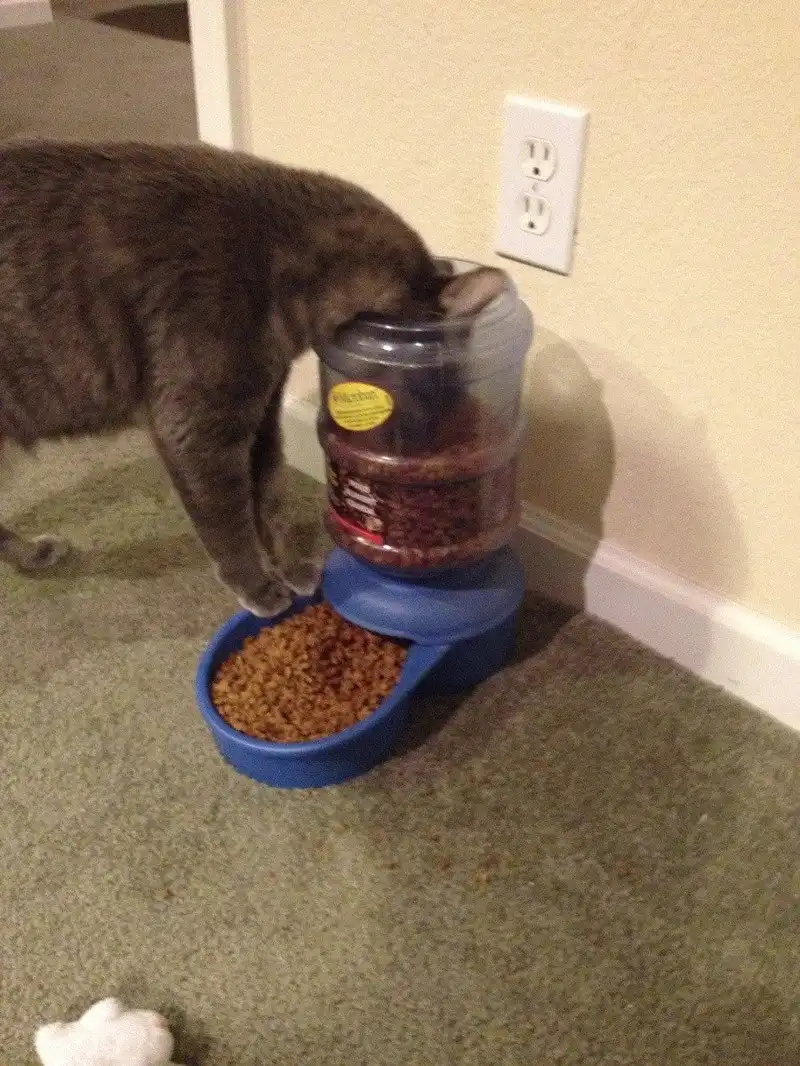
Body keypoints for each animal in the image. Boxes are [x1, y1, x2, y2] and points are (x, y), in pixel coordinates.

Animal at [0, 140, 507, 616]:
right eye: (435, 385)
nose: (434, 434)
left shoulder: (262, 414)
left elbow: (270, 499)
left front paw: (291, 568)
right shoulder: (199, 429)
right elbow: (231, 527)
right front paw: (259, 588)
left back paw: (35, 554)